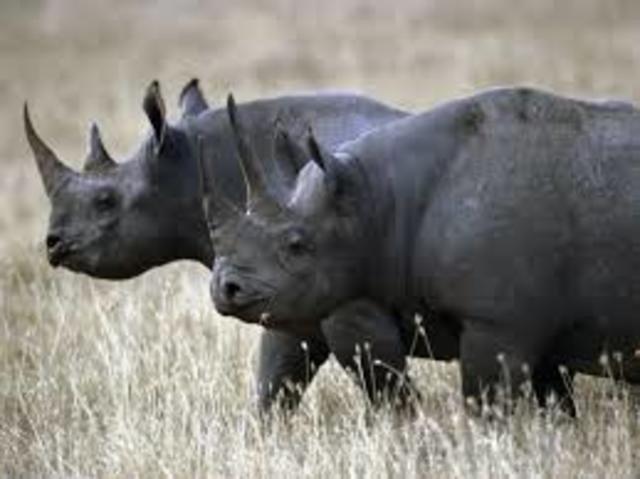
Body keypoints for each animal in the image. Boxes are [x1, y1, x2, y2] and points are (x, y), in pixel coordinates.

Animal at [24, 79, 416, 412]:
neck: (186, 169)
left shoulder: (335, 292)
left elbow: (384, 386)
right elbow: (276, 381)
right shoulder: (283, 287)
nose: (53, 244)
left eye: (105, 201)